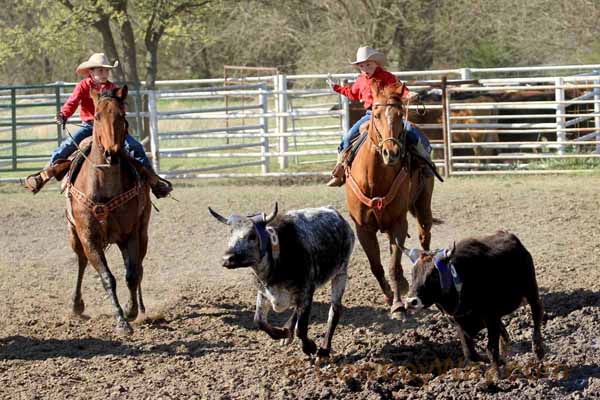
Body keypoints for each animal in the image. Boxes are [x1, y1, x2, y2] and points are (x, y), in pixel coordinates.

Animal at [63, 85, 150, 334]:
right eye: (97, 116)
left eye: (122, 116)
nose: (112, 153)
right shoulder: (88, 237)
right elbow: (107, 277)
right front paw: (121, 320)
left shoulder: (131, 234)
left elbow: (131, 274)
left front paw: (131, 310)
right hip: (74, 235)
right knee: (81, 262)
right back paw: (77, 305)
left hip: (143, 232)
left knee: (138, 266)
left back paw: (140, 306)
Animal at [344, 83, 438, 316]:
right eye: (376, 115)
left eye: (399, 115)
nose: (392, 152)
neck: (374, 179)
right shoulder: (363, 228)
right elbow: (376, 266)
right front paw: (388, 295)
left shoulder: (398, 223)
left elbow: (393, 266)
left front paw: (397, 306)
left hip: (423, 206)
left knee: (424, 236)